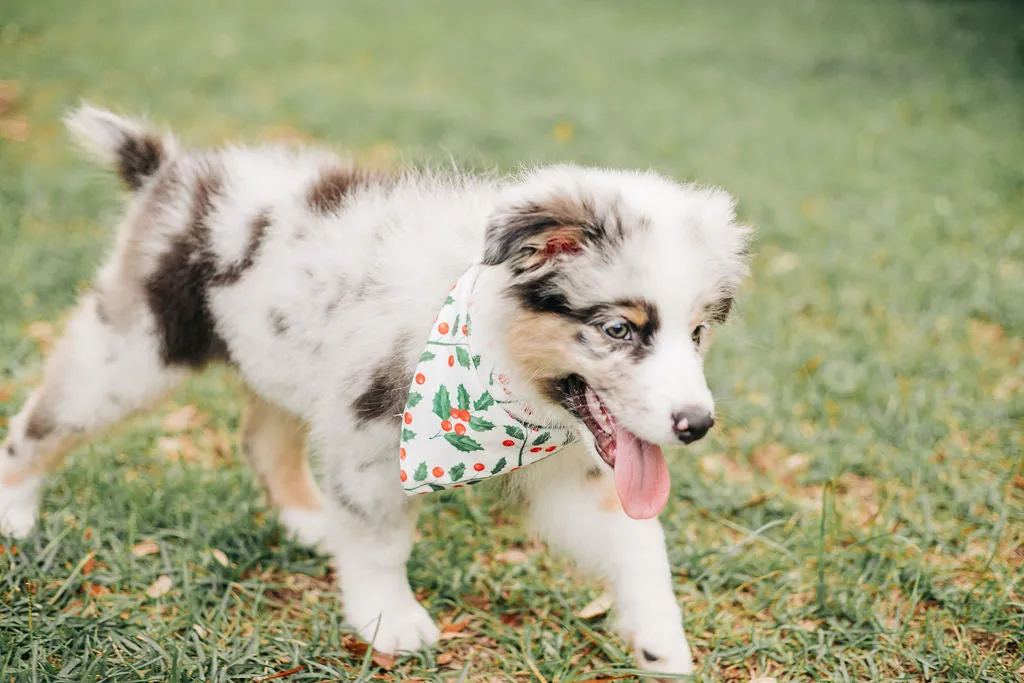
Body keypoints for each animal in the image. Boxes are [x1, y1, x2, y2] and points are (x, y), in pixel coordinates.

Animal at [0, 107, 753, 679]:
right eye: (618, 328)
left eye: (697, 332)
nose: (697, 424)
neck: (487, 345)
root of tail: (172, 171)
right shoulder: (365, 434)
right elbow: (381, 541)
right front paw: (390, 619)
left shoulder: (570, 473)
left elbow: (639, 541)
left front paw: (662, 640)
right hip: (135, 347)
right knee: (43, 418)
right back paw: (14, 510)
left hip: (284, 359)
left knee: (263, 439)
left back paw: (309, 520)